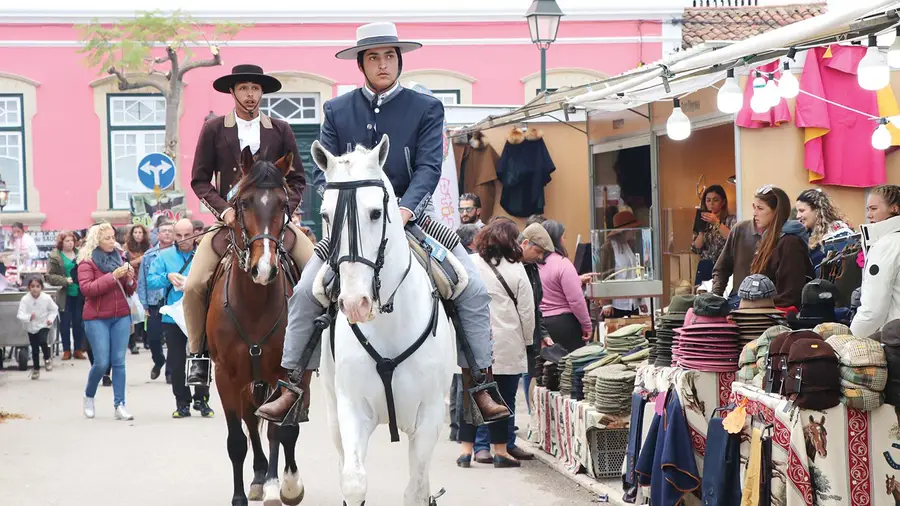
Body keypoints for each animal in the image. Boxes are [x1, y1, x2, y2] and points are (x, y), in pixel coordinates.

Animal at [206, 146, 304, 506]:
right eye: (244, 203)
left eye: (284, 203)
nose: (264, 269)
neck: (254, 304)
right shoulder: (226, 376)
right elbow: (237, 439)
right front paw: (241, 496)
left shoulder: (282, 371)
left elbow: (279, 428)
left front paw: (280, 486)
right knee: (251, 418)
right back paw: (259, 474)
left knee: (285, 424)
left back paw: (283, 479)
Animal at [312, 134, 460, 506]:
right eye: (325, 214)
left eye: (376, 213)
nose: (355, 303)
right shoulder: (351, 409)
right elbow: (353, 481)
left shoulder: (429, 417)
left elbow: (416, 490)